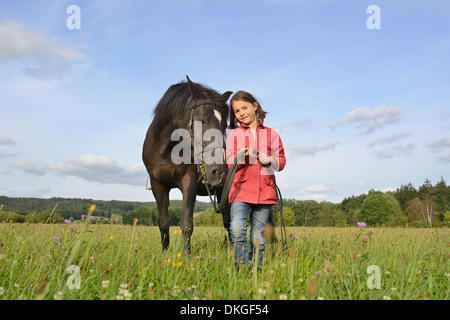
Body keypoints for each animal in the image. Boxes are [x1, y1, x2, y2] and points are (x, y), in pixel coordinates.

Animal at [142, 77, 232, 252]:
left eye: (225, 125)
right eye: (201, 120)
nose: (219, 172)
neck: (166, 151)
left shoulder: (188, 182)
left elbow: (187, 224)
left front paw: (186, 255)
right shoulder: (158, 185)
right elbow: (164, 222)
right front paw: (164, 253)